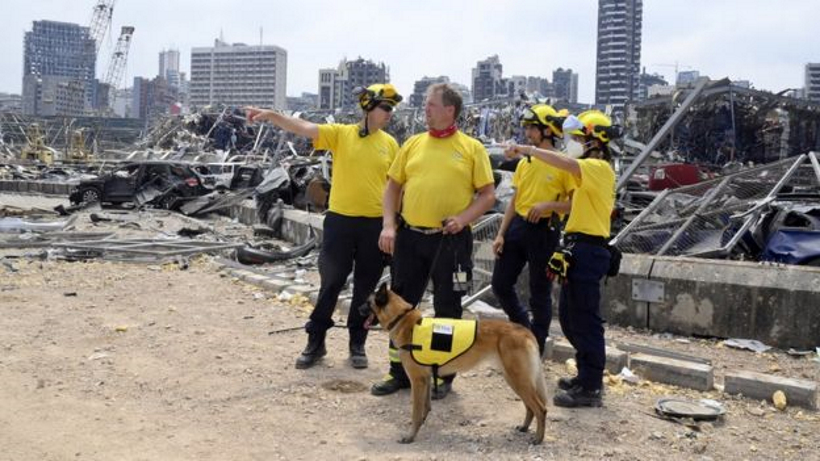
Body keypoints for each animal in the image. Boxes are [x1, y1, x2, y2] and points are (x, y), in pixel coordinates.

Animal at [362, 282, 548, 444]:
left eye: (367, 303)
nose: (357, 309)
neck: (403, 318)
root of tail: (525, 330)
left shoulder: (417, 380)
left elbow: (415, 412)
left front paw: (410, 436)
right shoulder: (426, 379)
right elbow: (425, 406)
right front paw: (422, 422)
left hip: (518, 379)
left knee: (540, 408)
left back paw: (538, 439)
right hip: (515, 379)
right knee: (530, 407)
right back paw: (524, 427)